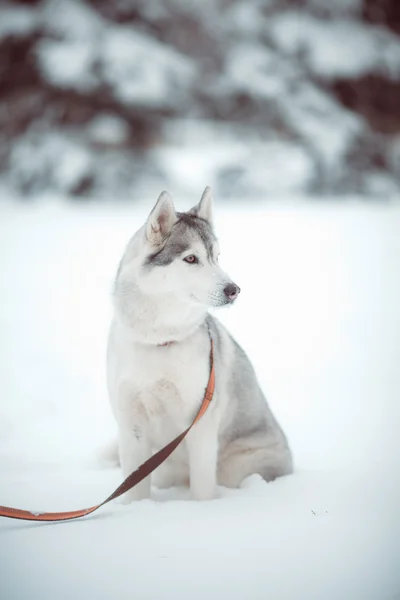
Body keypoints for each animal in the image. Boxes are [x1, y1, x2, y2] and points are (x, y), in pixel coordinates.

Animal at [108, 188, 292, 502]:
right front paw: (136, 508)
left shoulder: (200, 425)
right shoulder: (131, 427)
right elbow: (133, 487)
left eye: (216, 257)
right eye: (191, 258)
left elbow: (202, 488)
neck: (160, 340)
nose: (233, 289)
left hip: (238, 465)